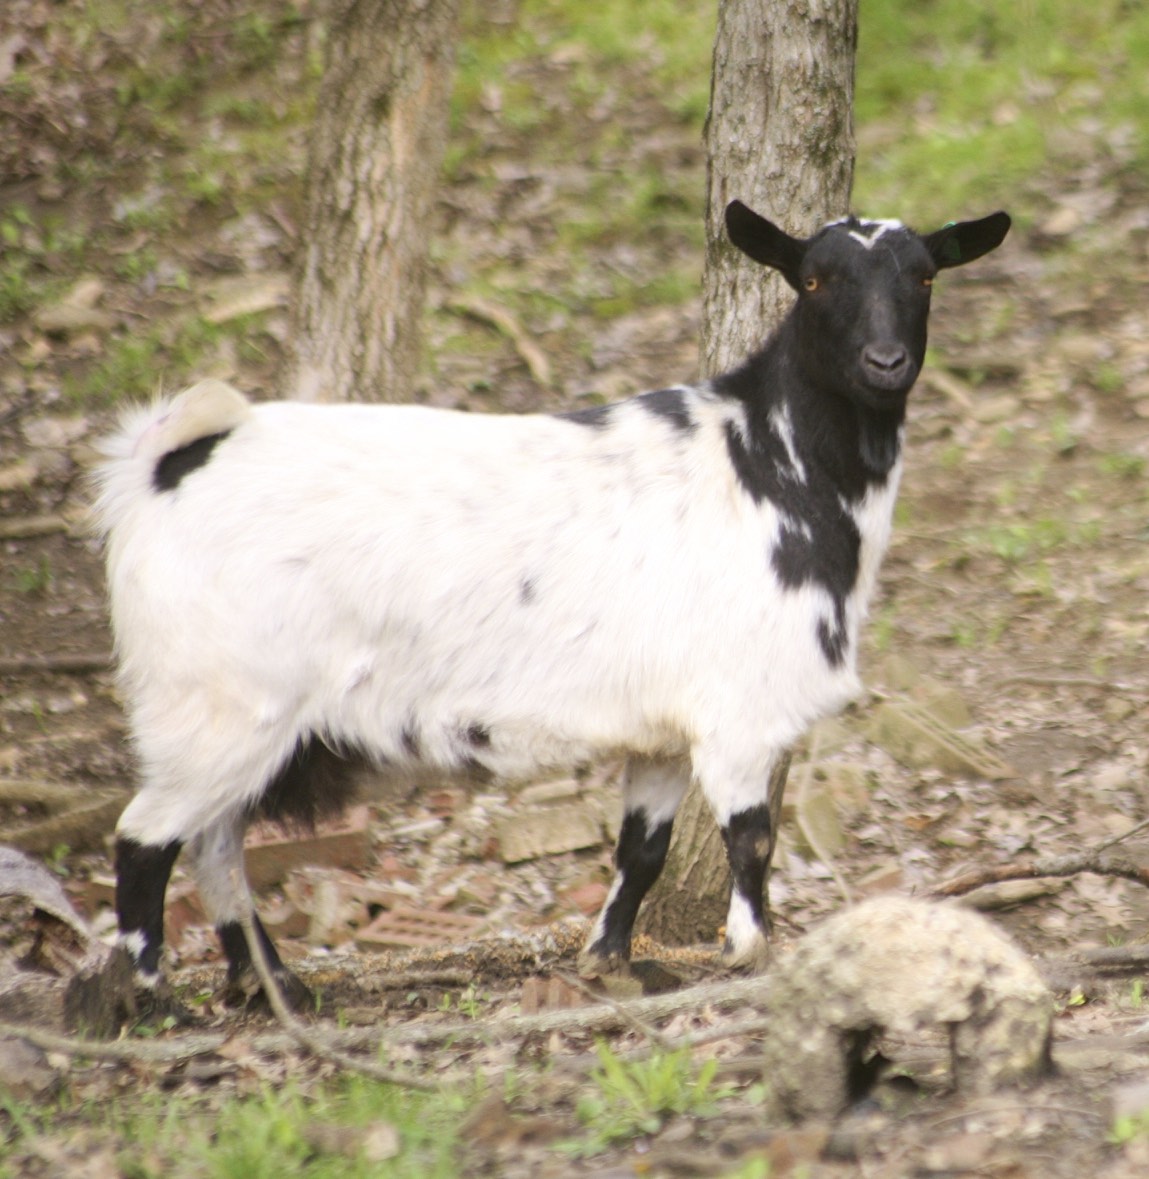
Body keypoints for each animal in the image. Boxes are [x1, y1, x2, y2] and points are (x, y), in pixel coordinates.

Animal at [94, 200, 1010, 1008]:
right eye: (814, 280)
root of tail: (169, 466)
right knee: (146, 838)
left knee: (213, 842)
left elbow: (641, 847)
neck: (770, 466)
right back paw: (150, 999)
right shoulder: (738, 712)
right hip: (218, 703)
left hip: (236, 715)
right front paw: (753, 955)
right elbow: (750, 837)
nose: (885, 363)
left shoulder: (661, 728)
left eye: (924, 276)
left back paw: (272, 986)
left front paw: (608, 959)